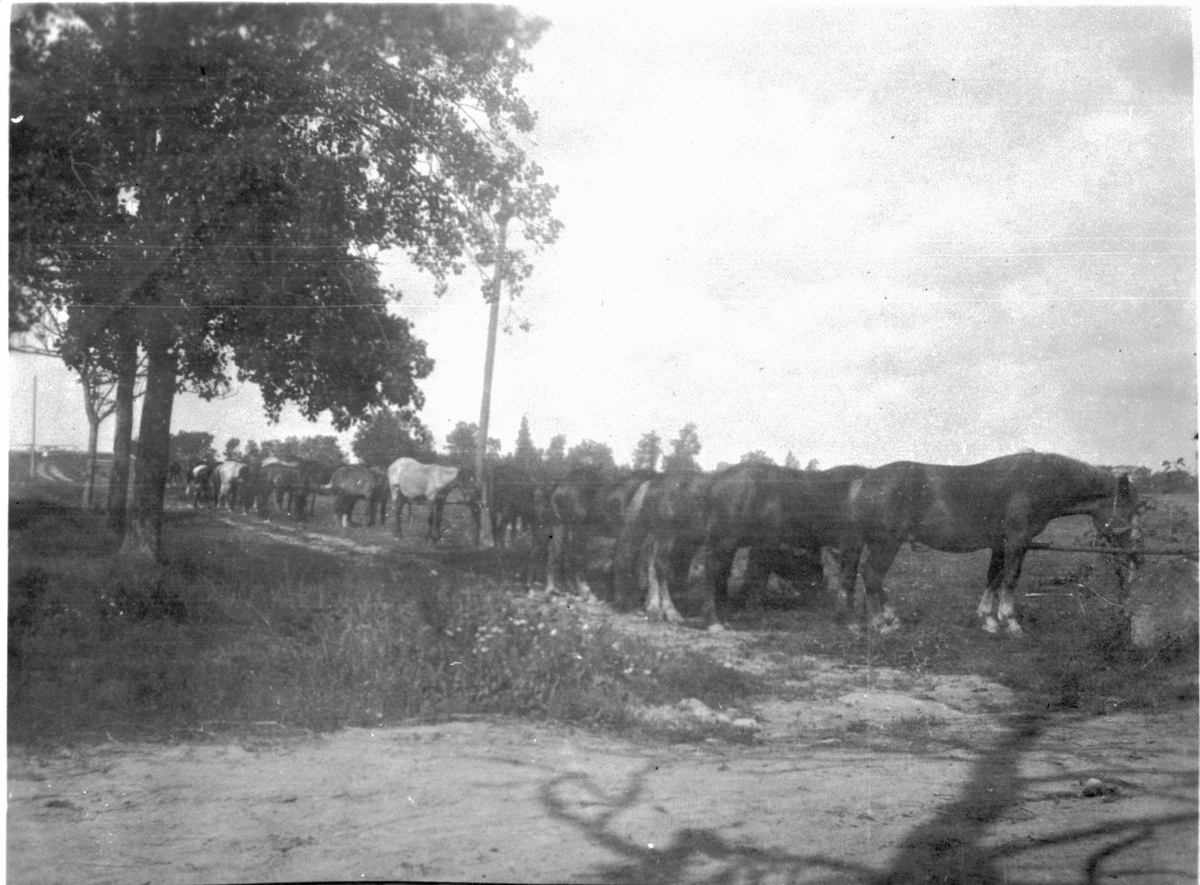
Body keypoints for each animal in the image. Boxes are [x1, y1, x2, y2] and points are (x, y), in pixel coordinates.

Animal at [839, 452, 1141, 636]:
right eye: (1128, 510)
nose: (1133, 552)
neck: (1035, 484)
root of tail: (864, 479)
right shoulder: (1018, 542)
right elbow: (1010, 578)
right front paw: (1010, 621)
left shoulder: (1000, 544)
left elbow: (993, 577)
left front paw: (989, 620)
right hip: (886, 542)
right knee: (872, 575)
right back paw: (880, 624)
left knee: (868, 576)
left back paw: (887, 619)